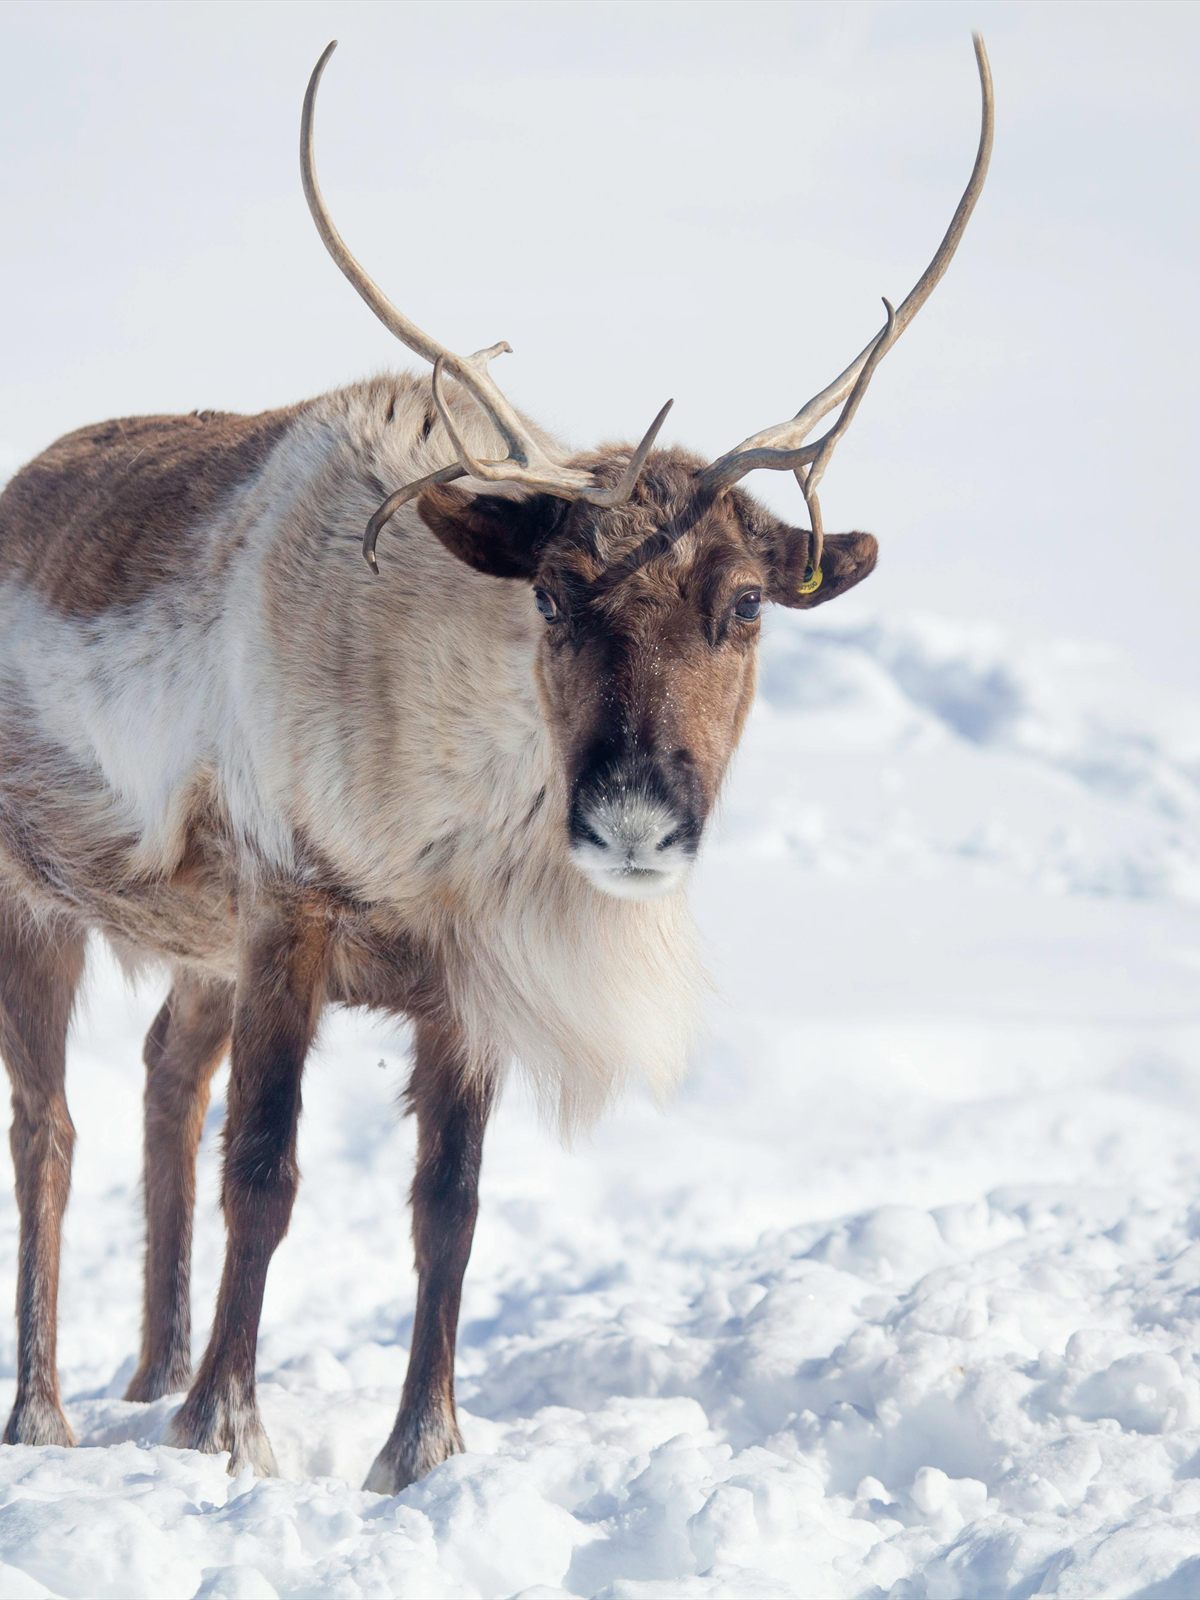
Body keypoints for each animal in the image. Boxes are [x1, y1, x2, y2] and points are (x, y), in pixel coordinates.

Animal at [0, 37, 992, 1491]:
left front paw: (421, 1450)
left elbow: (447, 1208)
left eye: (749, 602)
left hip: (189, 941)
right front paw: (228, 1434)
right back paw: (52, 1409)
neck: (455, 801)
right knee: (49, 1128)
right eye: (558, 594)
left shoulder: (463, 973)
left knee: (165, 1081)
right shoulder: (287, 906)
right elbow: (267, 1173)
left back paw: (152, 1371)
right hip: (35, 896)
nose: (634, 815)